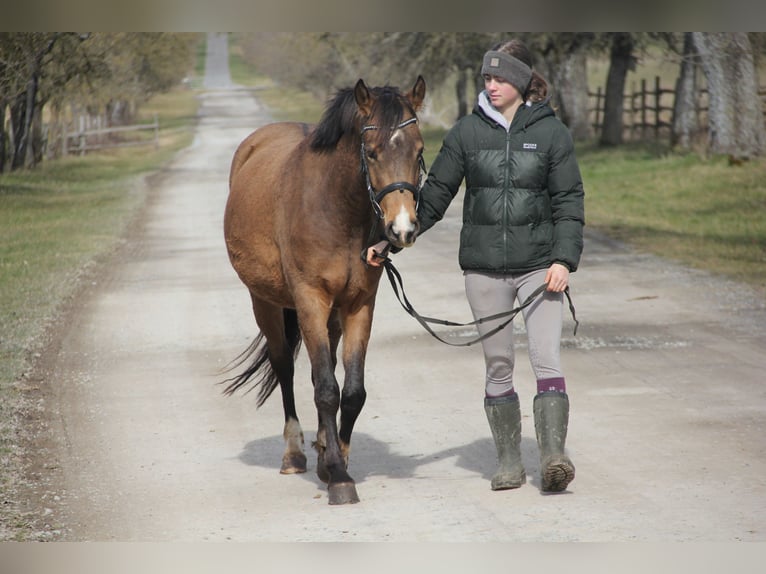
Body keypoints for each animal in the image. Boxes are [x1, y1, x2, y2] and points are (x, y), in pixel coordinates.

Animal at [222, 75, 428, 504]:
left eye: (418, 150)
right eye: (372, 152)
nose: (402, 229)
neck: (336, 208)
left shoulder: (359, 304)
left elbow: (350, 391)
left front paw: (336, 460)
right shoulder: (310, 300)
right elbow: (326, 390)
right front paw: (338, 475)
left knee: (326, 365)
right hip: (265, 302)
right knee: (284, 366)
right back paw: (295, 453)